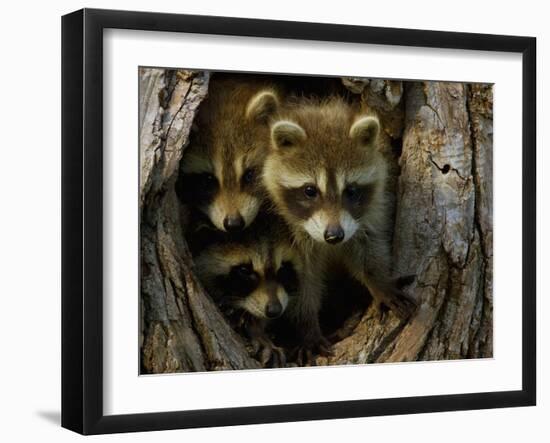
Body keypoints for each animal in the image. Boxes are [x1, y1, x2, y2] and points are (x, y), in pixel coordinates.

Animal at [264, 95, 418, 362]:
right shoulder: (289, 234)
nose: (334, 235)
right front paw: (306, 326)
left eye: (351, 190)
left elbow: (368, 247)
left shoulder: (372, 209)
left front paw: (380, 283)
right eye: (310, 191)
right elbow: (301, 280)